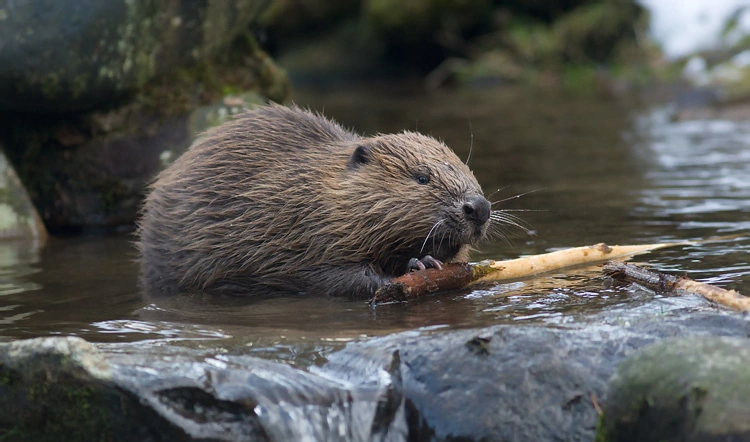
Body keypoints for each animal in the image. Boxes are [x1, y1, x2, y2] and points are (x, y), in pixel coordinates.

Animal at [139, 103, 494, 296]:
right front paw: (414, 266)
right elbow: (327, 275)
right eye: (422, 177)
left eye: (466, 168)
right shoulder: (297, 236)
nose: (479, 208)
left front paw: (427, 260)